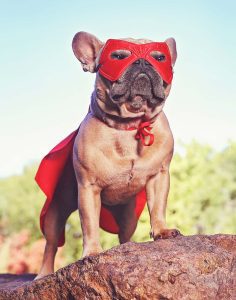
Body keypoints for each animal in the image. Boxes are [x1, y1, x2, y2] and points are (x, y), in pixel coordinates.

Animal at [36, 31, 181, 278]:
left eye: (160, 57)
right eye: (118, 56)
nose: (142, 62)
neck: (131, 125)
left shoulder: (159, 177)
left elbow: (158, 207)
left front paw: (161, 230)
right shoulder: (88, 188)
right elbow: (89, 224)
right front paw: (92, 251)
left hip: (129, 215)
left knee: (125, 235)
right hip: (56, 211)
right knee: (51, 245)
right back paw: (44, 273)